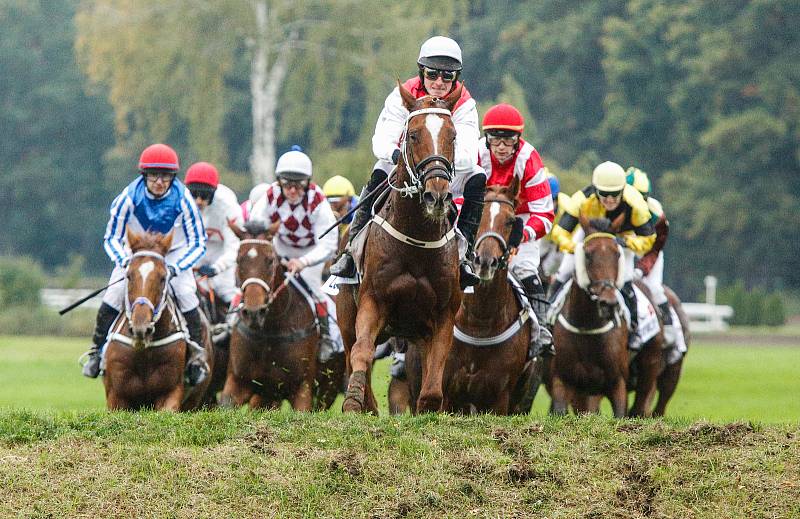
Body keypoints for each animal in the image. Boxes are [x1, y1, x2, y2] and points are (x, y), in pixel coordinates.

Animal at [104, 230, 216, 412]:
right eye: (129, 276)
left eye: (163, 278)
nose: (141, 328)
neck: (144, 350)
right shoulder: (116, 397)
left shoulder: (170, 392)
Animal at [338, 84, 462, 414]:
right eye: (414, 134)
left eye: (452, 135)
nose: (436, 195)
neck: (416, 240)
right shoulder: (373, 299)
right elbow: (362, 351)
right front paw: (353, 401)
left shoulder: (443, 315)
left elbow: (434, 378)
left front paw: (428, 406)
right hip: (346, 315)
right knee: (351, 351)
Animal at [440, 182, 540, 414]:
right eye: (480, 215)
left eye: (510, 221)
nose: (486, 261)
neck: (480, 322)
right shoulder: (446, 392)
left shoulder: (499, 397)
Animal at [544, 215, 664, 418]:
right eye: (588, 255)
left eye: (617, 254)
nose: (608, 303)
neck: (587, 326)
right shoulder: (562, 380)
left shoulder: (617, 383)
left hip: (650, 364)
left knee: (641, 404)